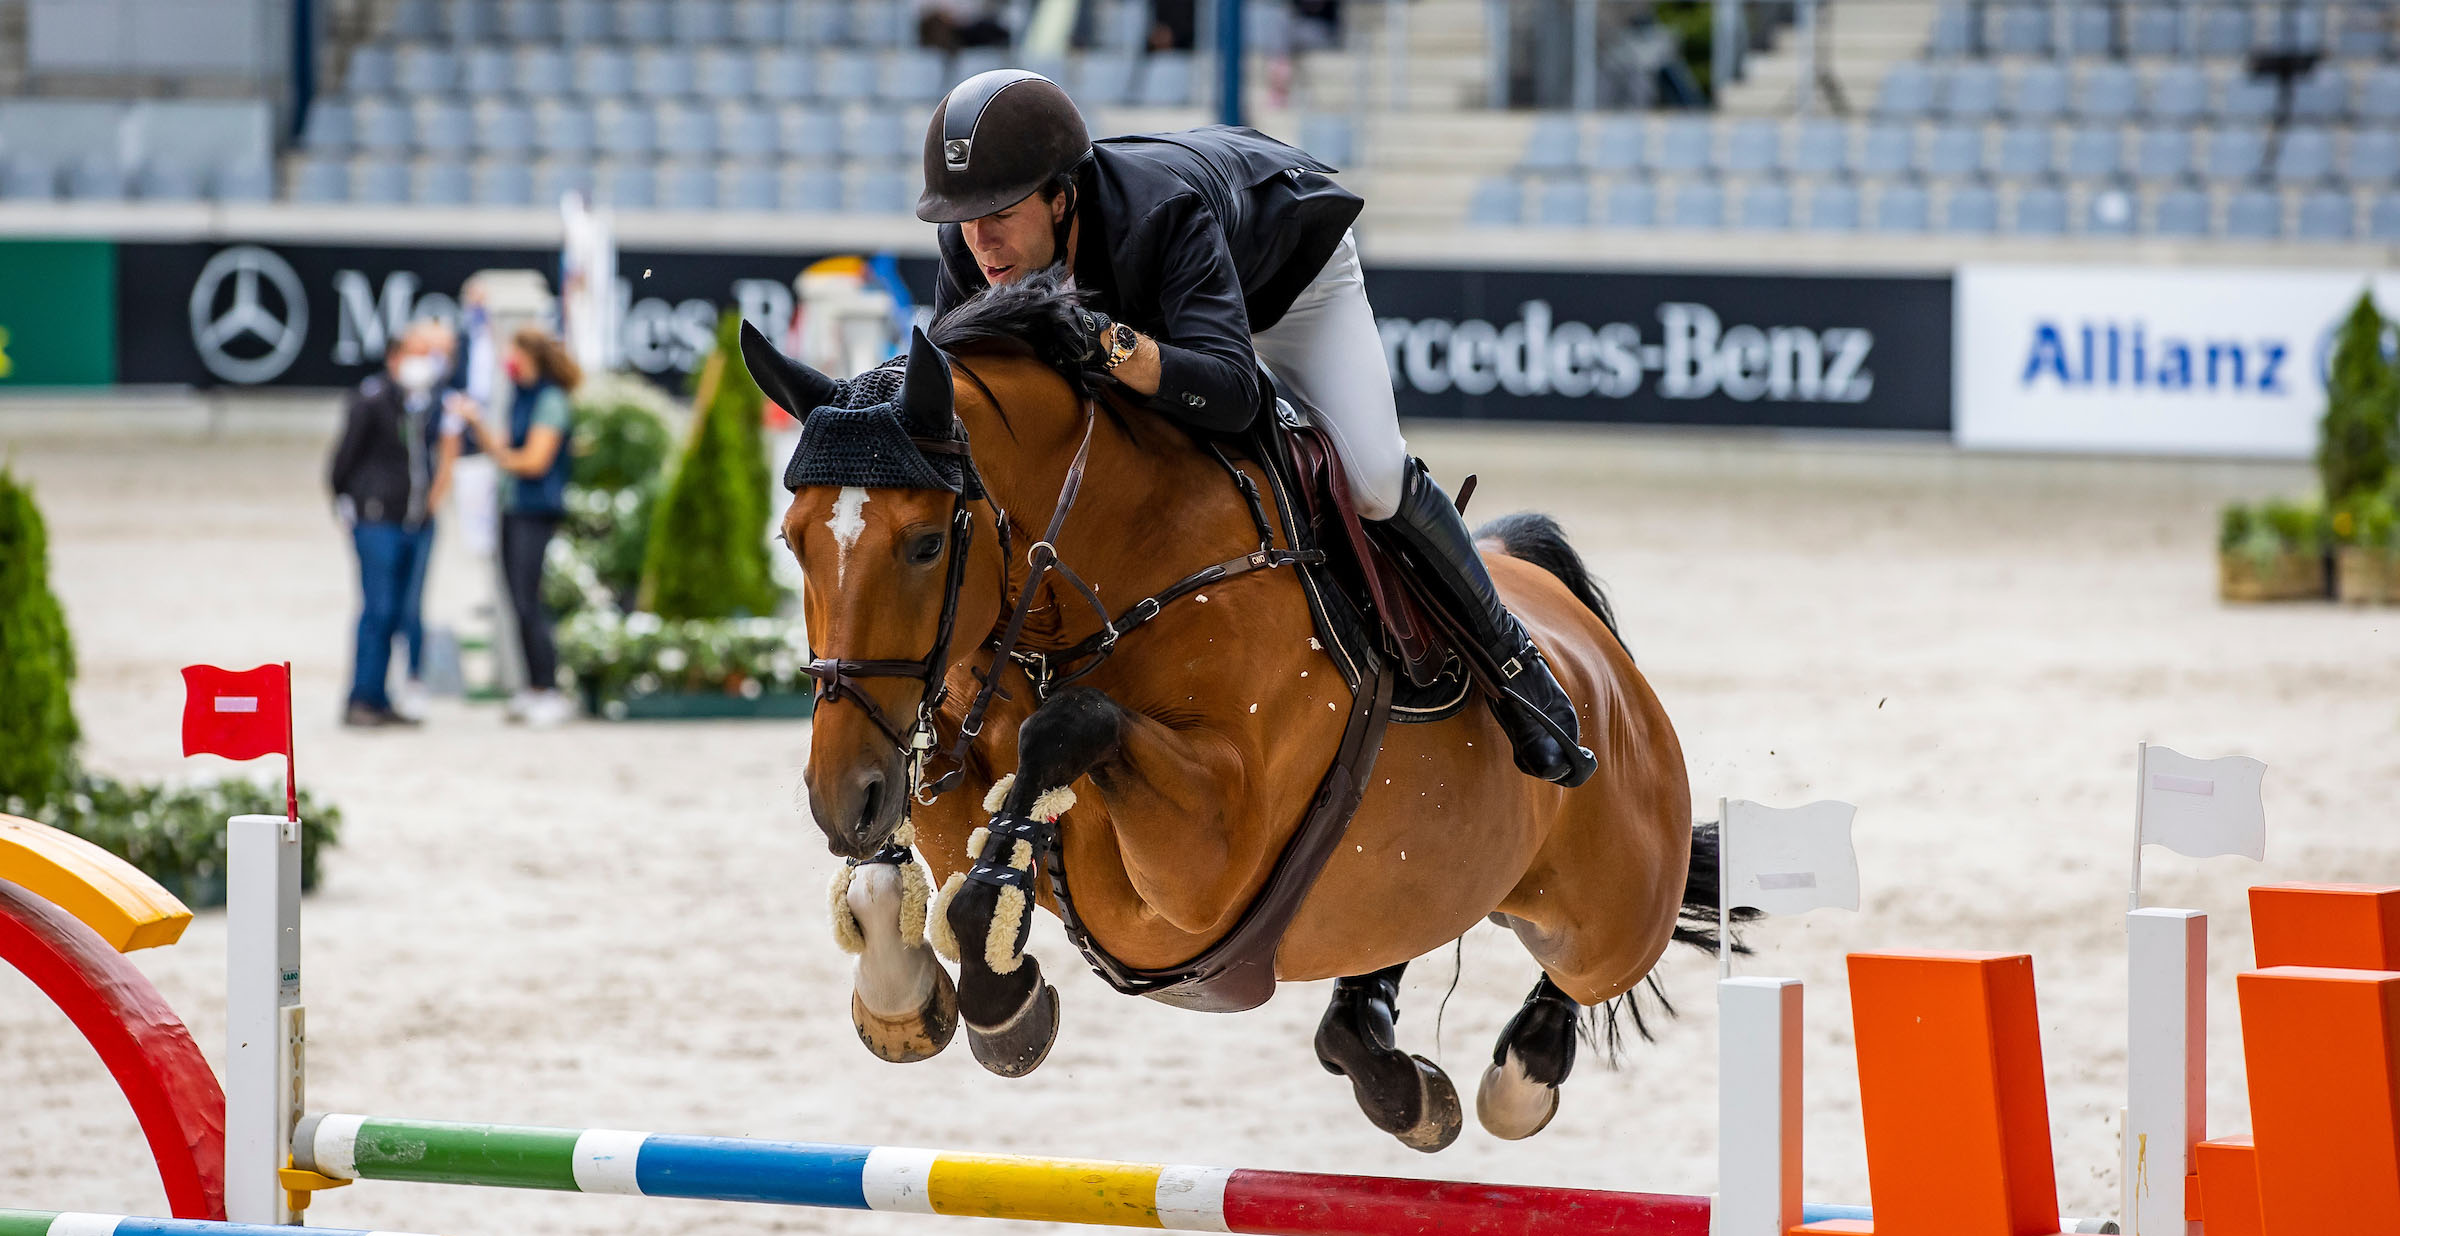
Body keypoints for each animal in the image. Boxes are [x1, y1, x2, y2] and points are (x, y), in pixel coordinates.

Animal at [737, 279, 1719, 1148]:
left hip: (1610, 907)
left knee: (1602, 961)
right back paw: (1389, 1070)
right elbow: (911, 855)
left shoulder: (1207, 862)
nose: (841, 800)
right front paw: (905, 995)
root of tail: (1596, 653)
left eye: (925, 544)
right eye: (791, 540)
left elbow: (1067, 733)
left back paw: (1522, 1067)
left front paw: (1001, 997)